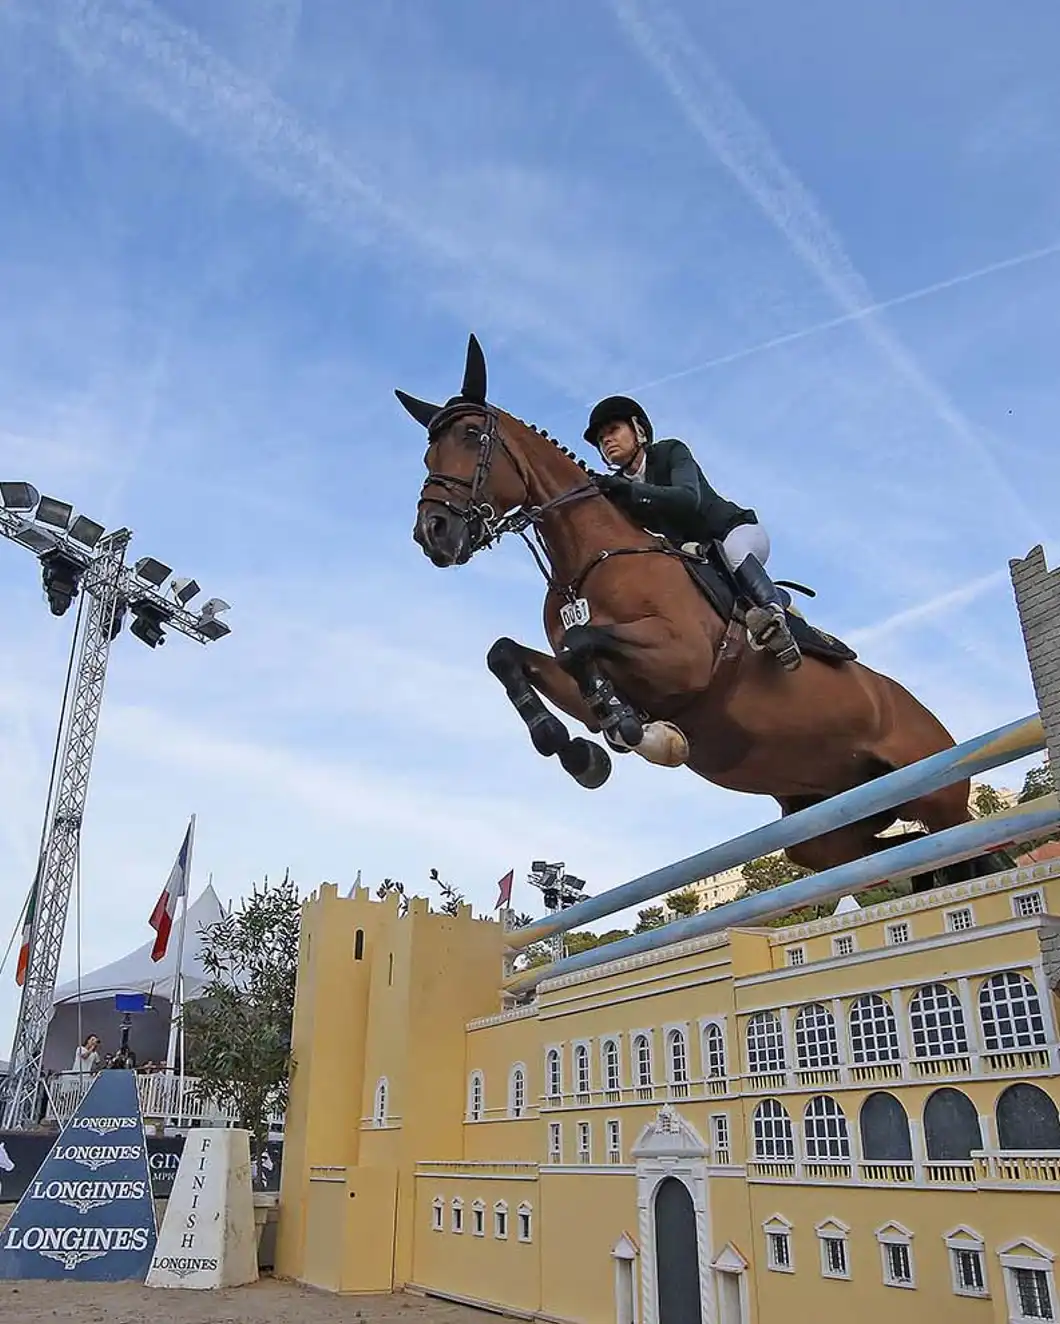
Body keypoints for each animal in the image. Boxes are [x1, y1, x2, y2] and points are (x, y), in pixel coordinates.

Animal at [399, 333, 1011, 889]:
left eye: (473, 436)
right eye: (427, 453)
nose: (433, 533)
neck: (586, 558)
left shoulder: (683, 659)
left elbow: (581, 646)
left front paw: (636, 733)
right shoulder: (599, 675)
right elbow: (508, 656)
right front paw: (578, 750)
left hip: (935, 793)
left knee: (963, 845)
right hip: (828, 826)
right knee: (899, 856)